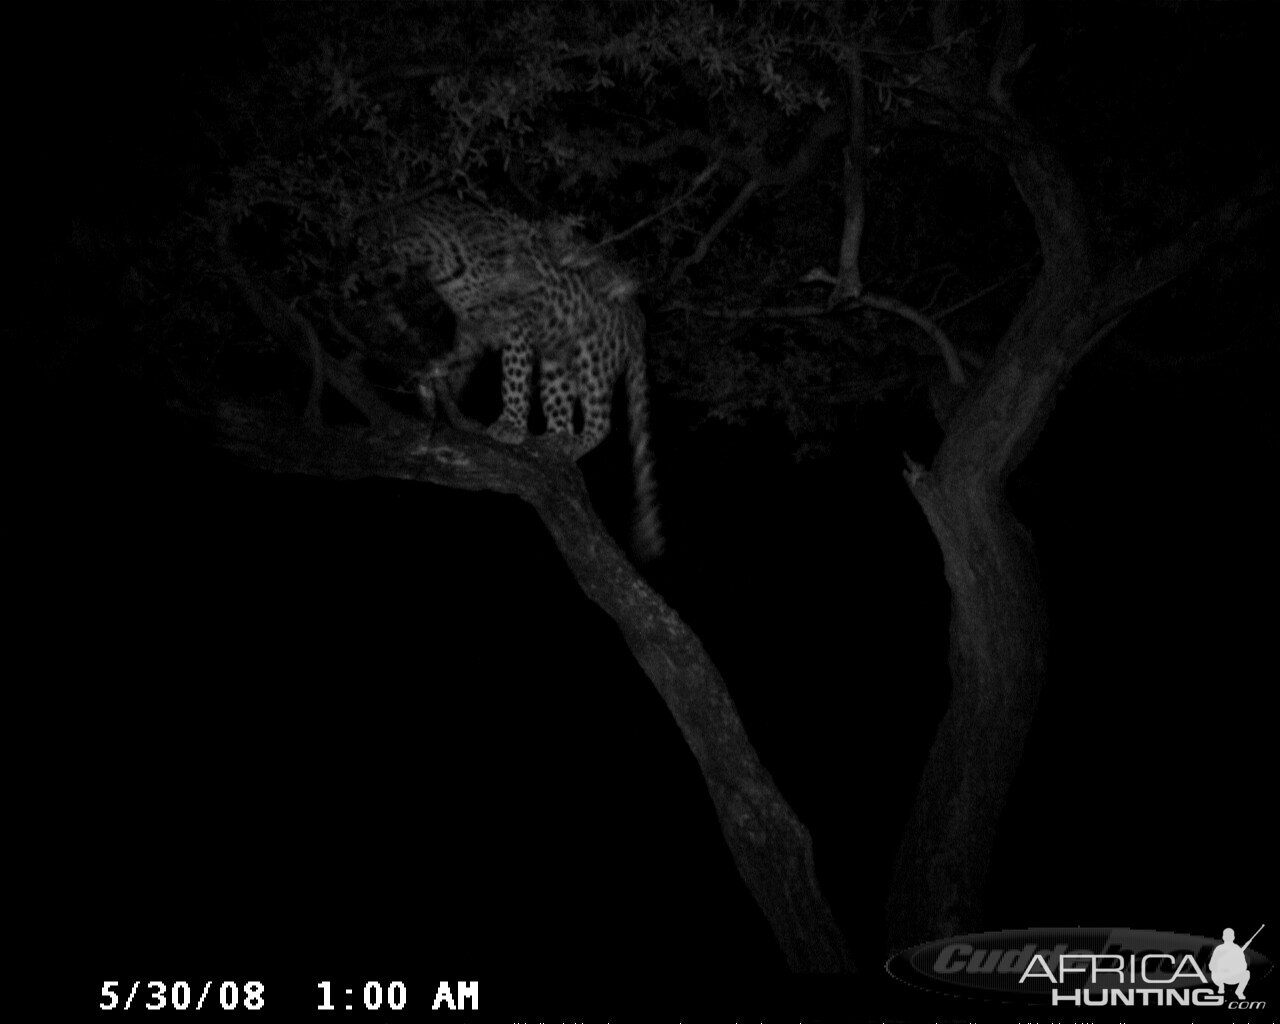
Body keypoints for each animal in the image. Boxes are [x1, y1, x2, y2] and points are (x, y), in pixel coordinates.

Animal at [358, 192, 660, 560]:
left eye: (376, 248)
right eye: (362, 247)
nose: (363, 277)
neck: (437, 261)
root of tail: (637, 316)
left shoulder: (518, 319)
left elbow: (513, 375)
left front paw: (509, 426)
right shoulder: (471, 327)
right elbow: (455, 362)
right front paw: (439, 389)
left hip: (593, 355)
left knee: (600, 421)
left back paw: (571, 445)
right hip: (556, 361)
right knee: (561, 411)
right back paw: (553, 441)